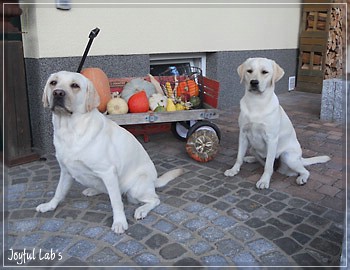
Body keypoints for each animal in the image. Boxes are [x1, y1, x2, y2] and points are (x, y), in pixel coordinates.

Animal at [36, 70, 183, 233]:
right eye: (53, 83)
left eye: (75, 85)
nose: (58, 93)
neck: (70, 129)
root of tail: (154, 181)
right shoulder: (66, 171)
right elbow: (59, 191)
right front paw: (50, 205)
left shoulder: (108, 173)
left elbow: (116, 202)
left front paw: (119, 222)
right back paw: (92, 190)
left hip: (135, 188)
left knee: (154, 199)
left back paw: (142, 210)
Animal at [226, 57, 330, 188]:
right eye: (249, 71)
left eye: (265, 72)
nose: (254, 82)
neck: (256, 102)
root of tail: (300, 158)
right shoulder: (243, 135)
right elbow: (239, 157)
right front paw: (234, 170)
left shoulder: (271, 139)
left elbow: (268, 166)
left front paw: (264, 181)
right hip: (253, 149)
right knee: (260, 158)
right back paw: (250, 158)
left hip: (288, 156)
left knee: (303, 170)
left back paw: (302, 178)